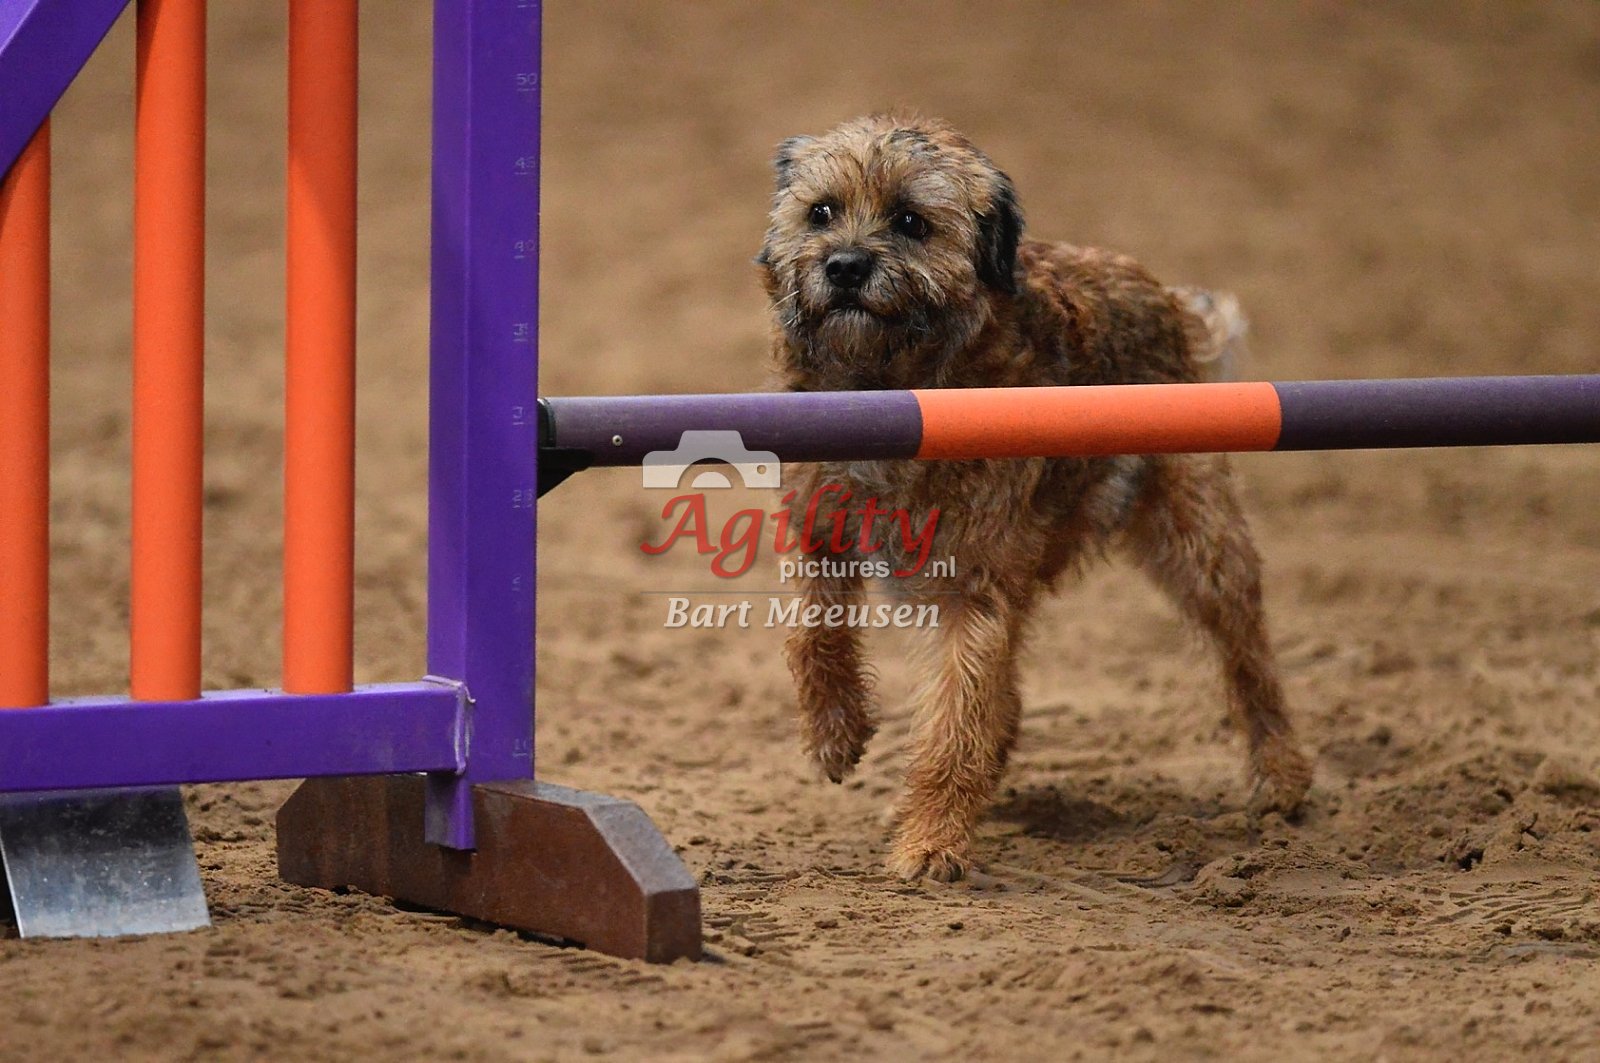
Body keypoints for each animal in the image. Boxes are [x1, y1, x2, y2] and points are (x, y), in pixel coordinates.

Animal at [756, 114, 1312, 881]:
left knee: (1247, 656)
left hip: (1200, 541)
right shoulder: (819, 526)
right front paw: (836, 733)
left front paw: (932, 841)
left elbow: (957, 717)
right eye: (820, 212)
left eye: (911, 221)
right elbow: (813, 632)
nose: (843, 266)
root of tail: (1171, 302)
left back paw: (1282, 775)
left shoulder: (974, 584)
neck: (888, 379)